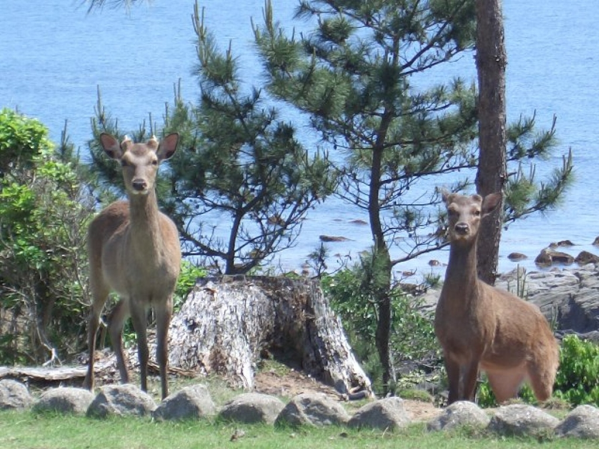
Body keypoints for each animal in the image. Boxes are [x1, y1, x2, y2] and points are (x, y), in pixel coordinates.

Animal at [82, 131, 180, 398]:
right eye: (125, 161)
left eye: (154, 161)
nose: (139, 184)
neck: (151, 268)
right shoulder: (138, 296)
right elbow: (143, 350)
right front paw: (146, 392)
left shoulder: (165, 294)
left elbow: (162, 352)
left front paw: (165, 396)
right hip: (98, 274)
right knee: (94, 319)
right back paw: (89, 383)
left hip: (124, 290)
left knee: (114, 321)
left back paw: (125, 381)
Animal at [434, 191, 560, 404]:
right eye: (451, 210)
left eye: (477, 211)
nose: (462, 227)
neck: (458, 313)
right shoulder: (447, 346)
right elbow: (453, 395)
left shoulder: (478, 345)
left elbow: (467, 394)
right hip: (503, 375)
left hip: (545, 363)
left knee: (546, 398)